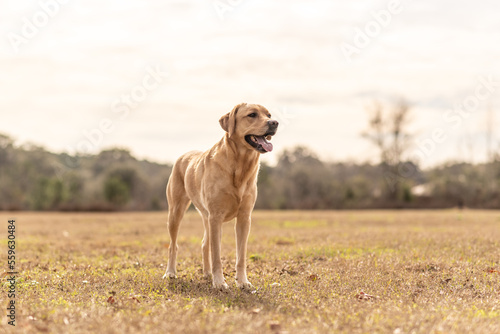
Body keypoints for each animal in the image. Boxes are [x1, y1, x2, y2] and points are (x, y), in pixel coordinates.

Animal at [165, 103, 280, 288]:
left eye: (268, 115)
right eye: (252, 115)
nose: (274, 122)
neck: (240, 166)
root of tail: (185, 154)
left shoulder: (244, 218)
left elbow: (241, 255)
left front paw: (242, 282)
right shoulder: (216, 217)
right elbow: (217, 255)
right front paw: (219, 282)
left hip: (206, 217)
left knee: (205, 244)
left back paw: (207, 273)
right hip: (176, 212)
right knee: (173, 246)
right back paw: (170, 272)